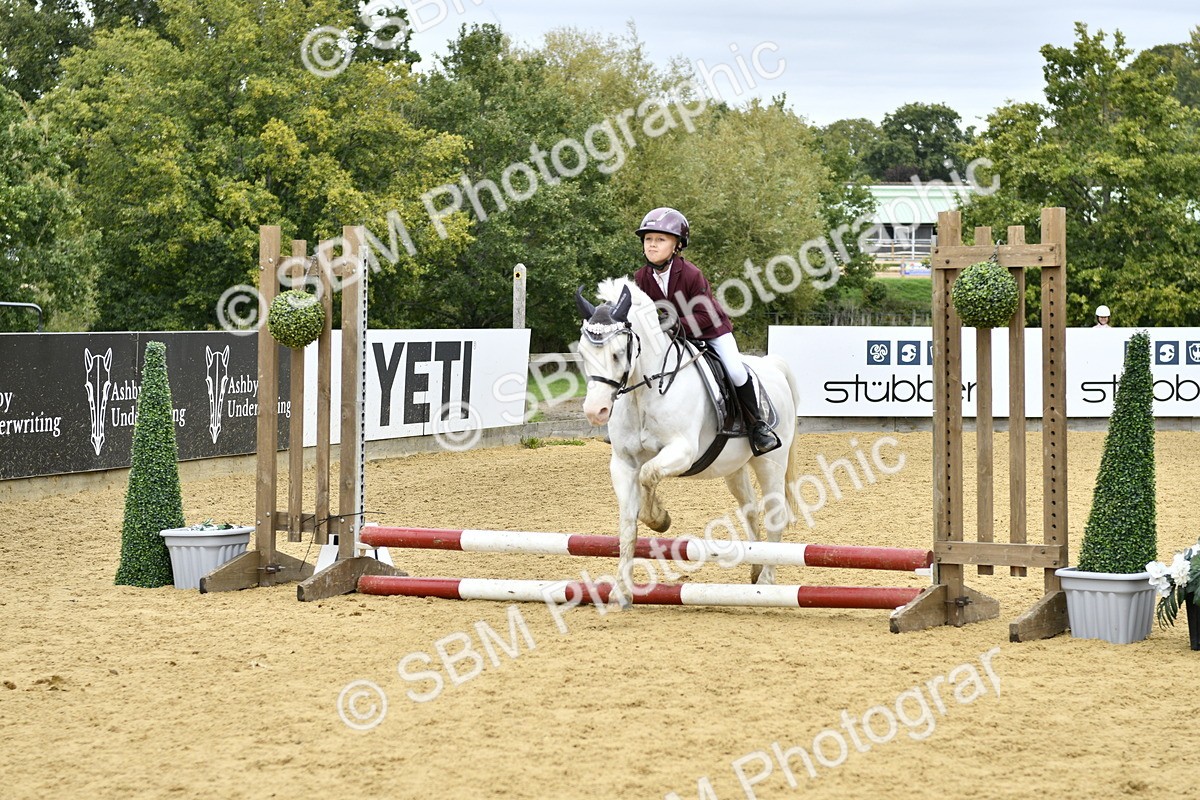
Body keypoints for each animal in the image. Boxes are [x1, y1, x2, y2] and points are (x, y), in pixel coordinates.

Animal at [575, 278, 802, 598]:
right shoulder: (623, 463)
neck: (644, 391)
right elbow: (628, 524)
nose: (595, 411)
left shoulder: (682, 451)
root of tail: (773, 367)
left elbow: (649, 474)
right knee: (749, 509)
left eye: (619, 353)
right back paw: (756, 569)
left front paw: (659, 518)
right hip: (734, 468)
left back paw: (767, 582)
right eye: (583, 353)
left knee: (775, 513)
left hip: (771, 462)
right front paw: (621, 590)